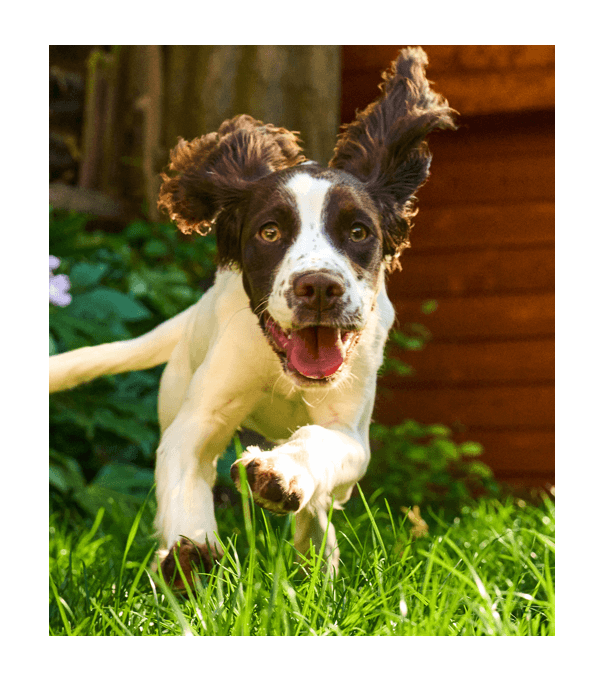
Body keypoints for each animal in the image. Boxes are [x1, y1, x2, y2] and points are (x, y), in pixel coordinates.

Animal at [48, 47, 452, 592]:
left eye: (358, 231)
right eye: (269, 231)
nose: (318, 287)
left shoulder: (352, 431)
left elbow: (322, 446)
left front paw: (284, 474)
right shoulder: (196, 419)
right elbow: (185, 472)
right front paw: (190, 551)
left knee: (319, 506)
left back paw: (316, 557)